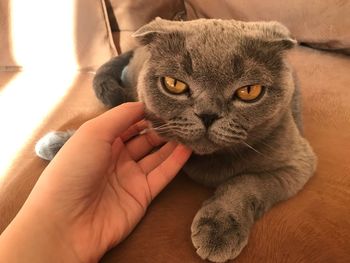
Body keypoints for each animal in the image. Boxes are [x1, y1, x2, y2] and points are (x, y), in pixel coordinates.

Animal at [36, 18, 318, 262]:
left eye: (249, 91)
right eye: (174, 84)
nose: (207, 114)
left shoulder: (298, 162)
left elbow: (247, 182)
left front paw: (219, 228)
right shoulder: (154, 122)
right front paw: (61, 144)